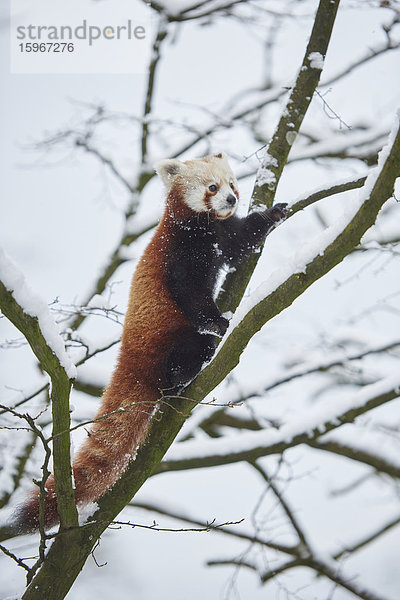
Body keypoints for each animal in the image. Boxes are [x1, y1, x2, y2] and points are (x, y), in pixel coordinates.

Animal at [13, 152, 288, 532]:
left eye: (232, 183)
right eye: (212, 187)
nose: (232, 199)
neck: (200, 227)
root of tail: (129, 357)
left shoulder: (221, 235)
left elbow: (240, 243)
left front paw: (274, 214)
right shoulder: (180, 254)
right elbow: (190, 293)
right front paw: (217, 321)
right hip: (168, 339)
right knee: (189, 351)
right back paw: (182, 377)